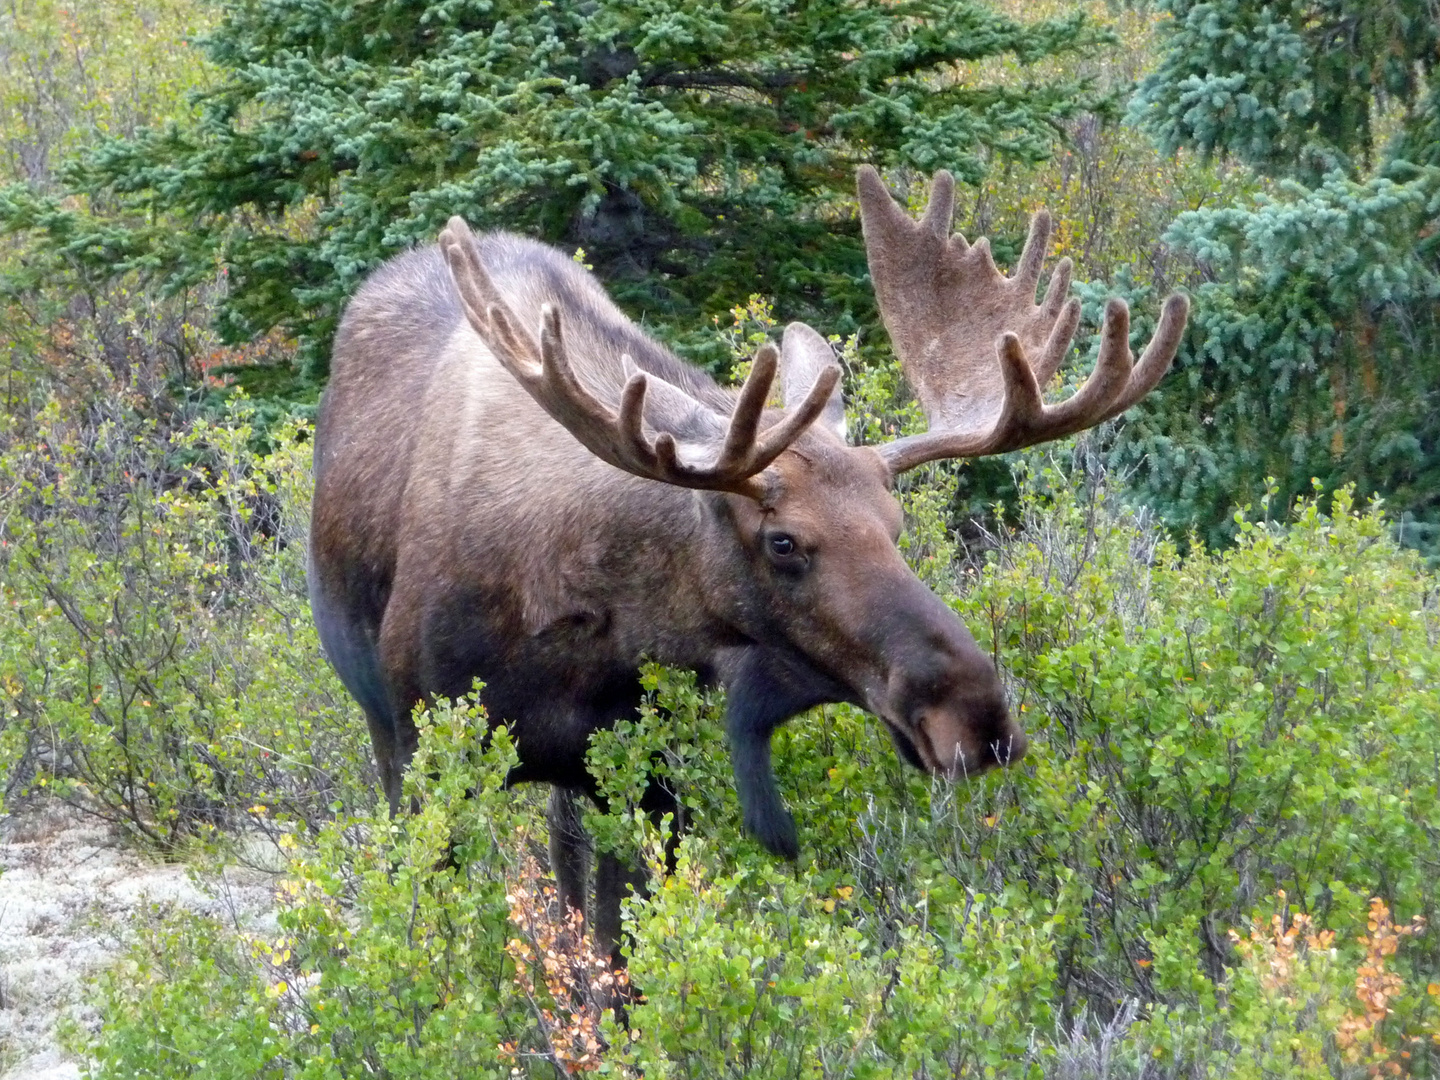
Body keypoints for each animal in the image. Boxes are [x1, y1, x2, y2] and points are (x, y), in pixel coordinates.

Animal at [309, 169, 1186, 961]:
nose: (978, 715)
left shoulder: (654, 783)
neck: (585, 629)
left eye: (896, 525)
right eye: (784, 542)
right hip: (382, 720)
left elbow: (619, 969)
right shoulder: (429, 757)